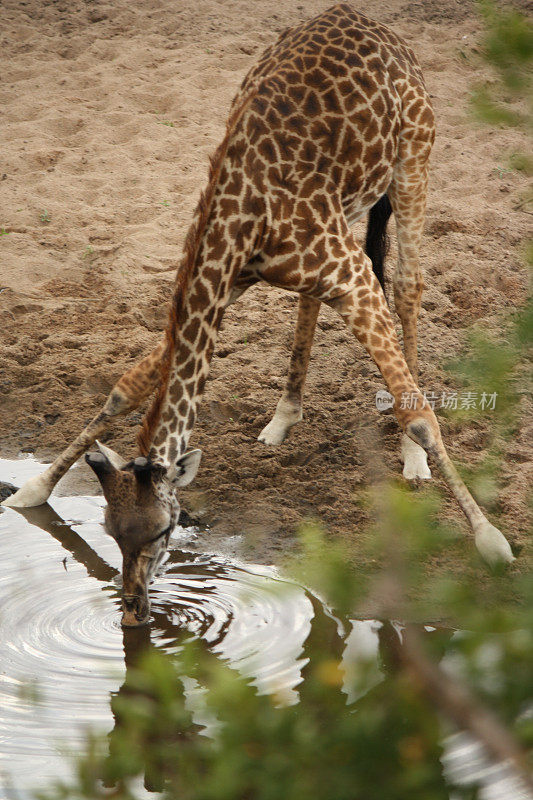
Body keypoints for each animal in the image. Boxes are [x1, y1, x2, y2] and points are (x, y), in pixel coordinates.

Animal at [3, 3, 512, 624]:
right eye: (110, 531)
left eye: (163, 530)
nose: (133, 612)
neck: (240, 219)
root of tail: (370, 22)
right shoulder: (229, 283)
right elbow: (126, 387)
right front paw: (33, 491)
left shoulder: (351, 275)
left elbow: (417, 411)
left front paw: (490, 540)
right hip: (349, 206)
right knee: (313, 296)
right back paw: (282, 416)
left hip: (415, 157)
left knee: (408, 282)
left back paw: (411, 460)